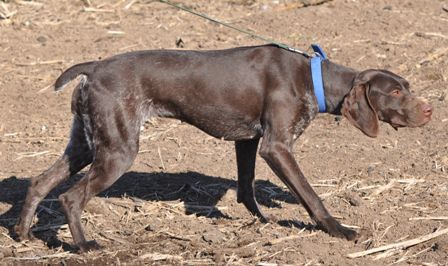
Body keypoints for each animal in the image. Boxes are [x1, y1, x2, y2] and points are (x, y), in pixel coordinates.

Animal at [15, 45, 432, 251]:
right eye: (395, 93)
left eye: (408, 87)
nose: (429, 110)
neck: (313, 78)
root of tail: (94, 68)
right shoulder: (276, 147)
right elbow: (311, 196)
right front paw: (338, 230)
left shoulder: (248, 142)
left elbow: (247, 189)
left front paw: (261, 223)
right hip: (117, 152)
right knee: (70, 197)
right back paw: (85, 246)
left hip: (87, 145)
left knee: (39, 182)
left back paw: (22, 235)